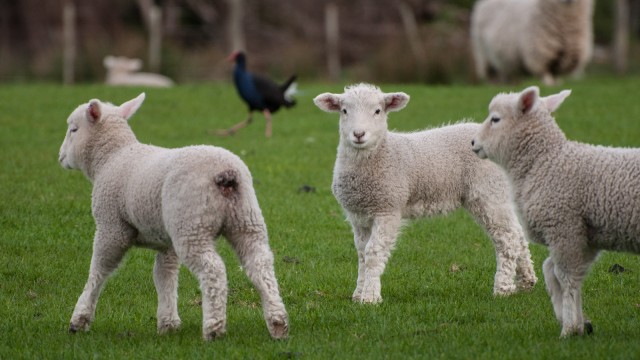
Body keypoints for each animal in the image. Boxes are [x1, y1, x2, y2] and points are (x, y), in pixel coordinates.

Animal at [57, 93, 288, 340]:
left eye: (73, 130)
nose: (60, 157)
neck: (111, 157)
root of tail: (226, 174)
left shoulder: (111, 227)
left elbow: (98, 272)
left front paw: (79, 319)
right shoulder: (166, 241)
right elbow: (164, 276)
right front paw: (168, 323)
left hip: (191, 224)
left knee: (213, 269)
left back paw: (214, 328)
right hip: (245, 219)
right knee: (260, 263)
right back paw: (277, 323)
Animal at [312, 82, 536, 304]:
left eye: (377, 111)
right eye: (344, 111)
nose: (359, 134)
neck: (380, 153)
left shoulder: (388, 209)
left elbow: (373, 253)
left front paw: (370, 297)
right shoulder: (358, 215)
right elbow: (361, 254)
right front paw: (358, 294)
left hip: (488, 190)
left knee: (506, 237)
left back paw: (503, 287)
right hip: (498, 192)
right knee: (517, 233)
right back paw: (527, 280)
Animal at [470, 86, 640, 338]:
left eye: (495, 119)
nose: (473, 142)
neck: (546, 161)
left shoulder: (564, 227)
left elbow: (566, 279)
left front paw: (569, 328)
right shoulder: (584, 236)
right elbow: (551, 270)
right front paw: (578, 322)